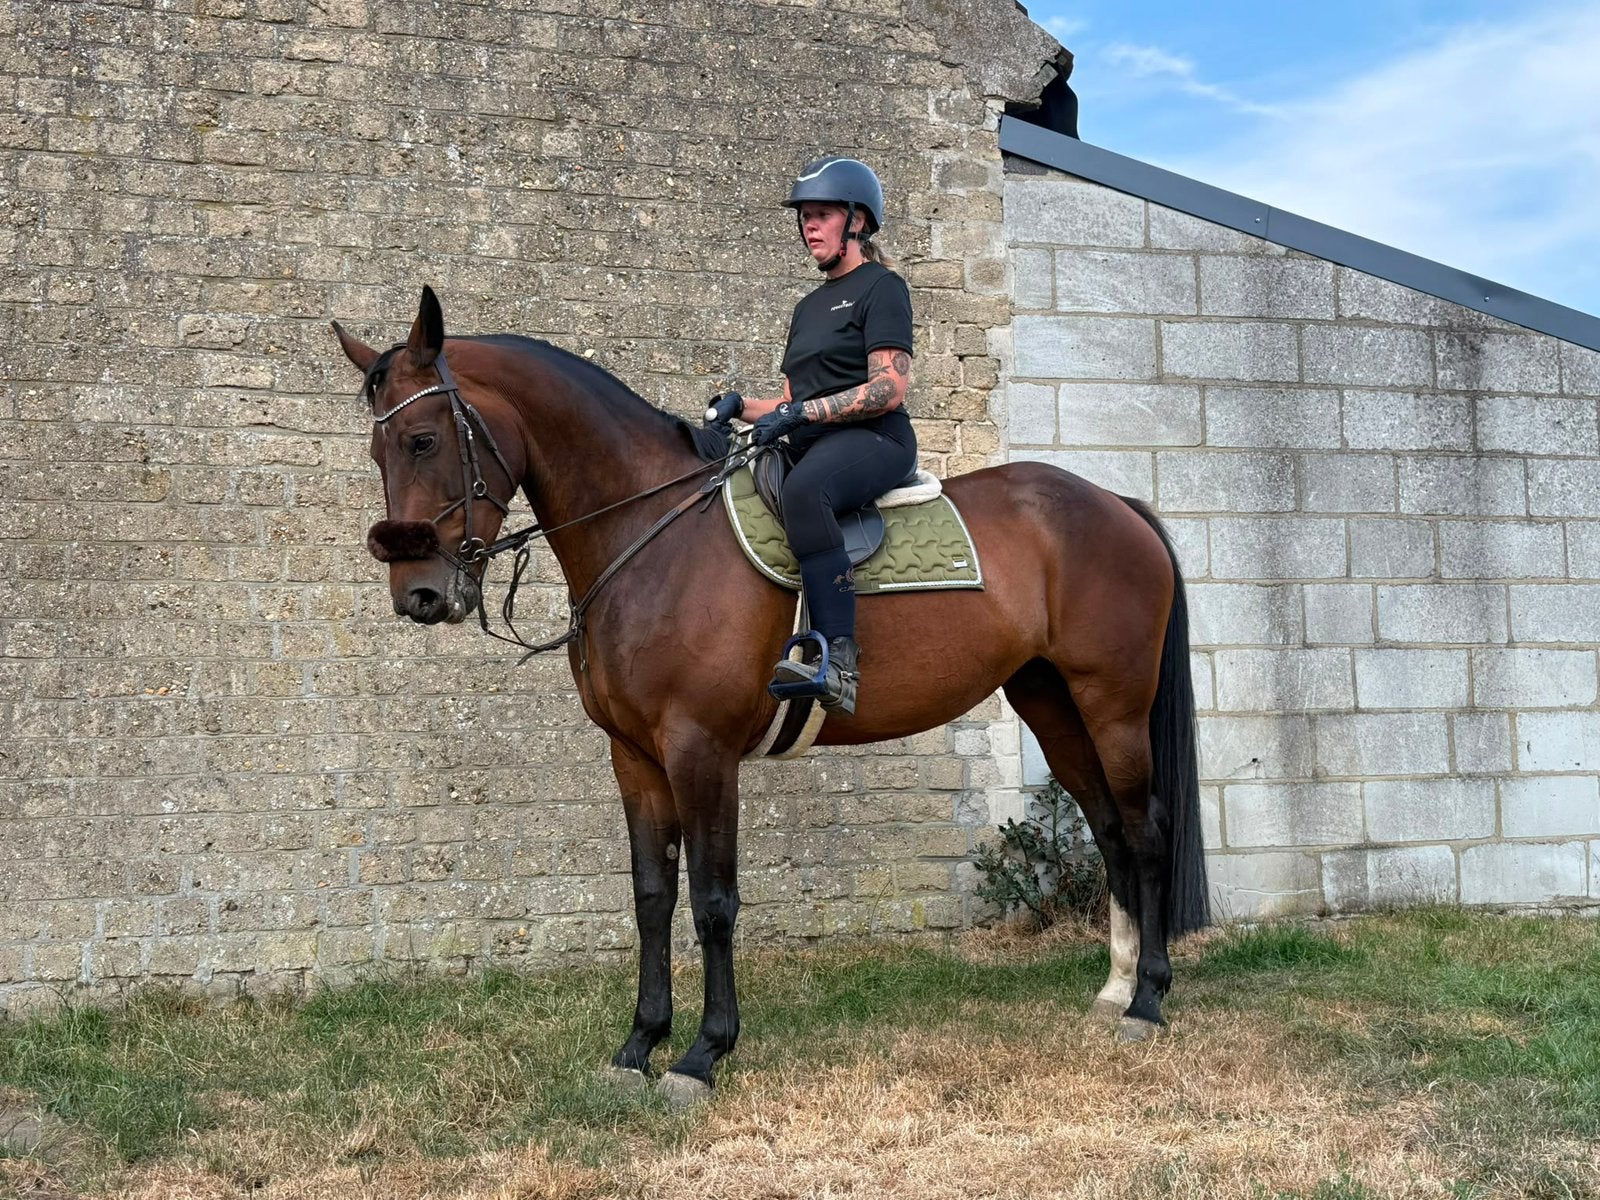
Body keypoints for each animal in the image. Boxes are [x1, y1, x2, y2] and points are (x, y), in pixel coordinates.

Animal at [333, 286, 1208, 1106]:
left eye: (422, 439)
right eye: (377, 451)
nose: (417, 596)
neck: (654, 534)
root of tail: (1117, 505)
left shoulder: (702, 750)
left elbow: (714, 901)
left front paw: (701, 1054)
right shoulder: (634, 757)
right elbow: (652, 897)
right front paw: (638, 1045)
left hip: (1113, 703)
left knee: (1146, 827)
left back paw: (1149, 1001)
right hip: (1051, 701)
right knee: (1109, 827)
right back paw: (1114, 991)